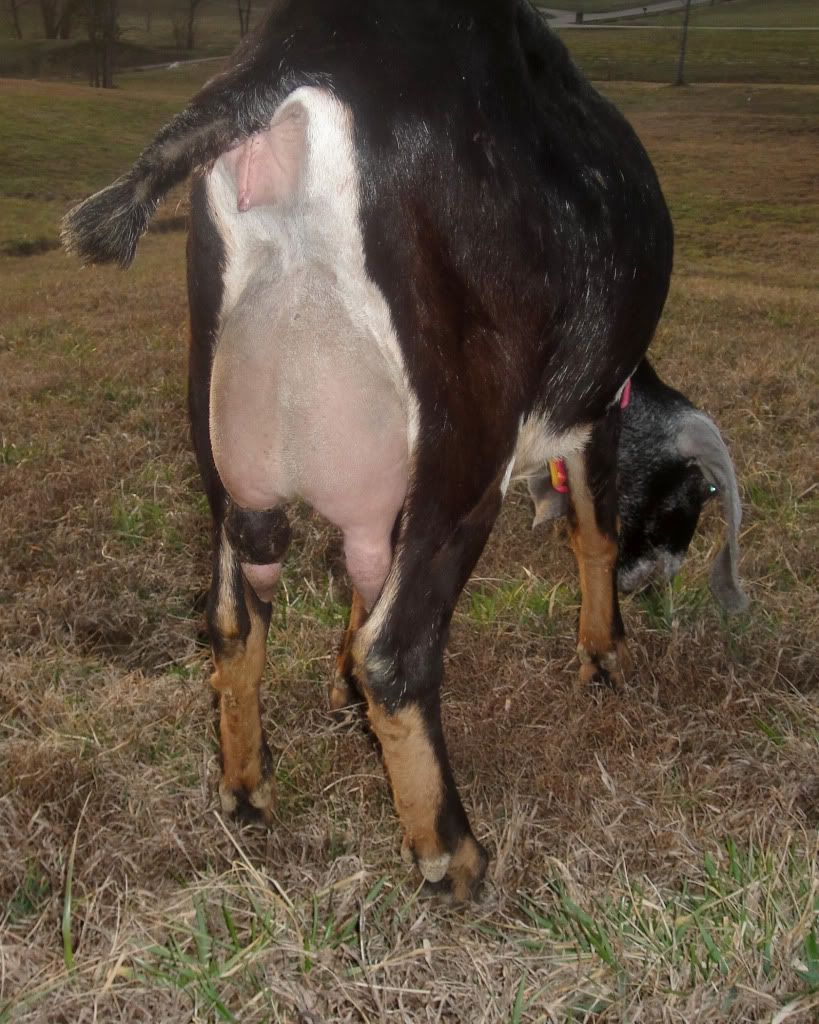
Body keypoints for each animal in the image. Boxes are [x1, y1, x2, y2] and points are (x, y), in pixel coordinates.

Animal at [62, 0, 745, 899]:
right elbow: (590, 532)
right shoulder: (591, 410)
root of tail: (292, 60)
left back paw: (247, 788)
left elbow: (363, 573)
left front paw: (338, 688)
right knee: (398, 649)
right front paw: (603, 655)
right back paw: (451, 853)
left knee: (235, 617)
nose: (654, 580)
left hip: (218, 430)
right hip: (466, 448)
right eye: (686, 497)